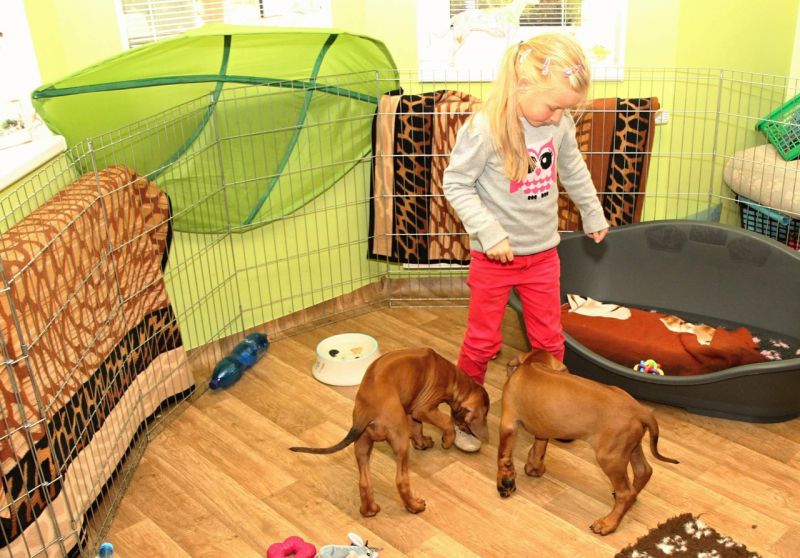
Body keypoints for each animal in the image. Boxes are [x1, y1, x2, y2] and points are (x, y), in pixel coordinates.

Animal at [290, 347, 490, 517]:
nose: (473, 434)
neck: (453, 376)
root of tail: (368, 409)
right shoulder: (423, 408)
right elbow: (445, 421)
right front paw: (447, 440)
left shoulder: (410, 409)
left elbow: (417, 428)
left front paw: (422, 442)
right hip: (399, 441)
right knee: (401, 480)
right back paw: (415, 506)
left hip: (362, 444)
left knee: (364, 481)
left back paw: (369, 510)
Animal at [496, 350, 678, 535]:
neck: (532, 364)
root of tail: (640, 410)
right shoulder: (543, 428)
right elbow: (538, 448)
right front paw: (534, 468)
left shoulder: (508, 424)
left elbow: (504, 457)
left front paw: (505, 483)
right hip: (631, 447)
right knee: (643, 472)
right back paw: (630, 498)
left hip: (610, 457)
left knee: (625, 493)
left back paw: (608, 523)